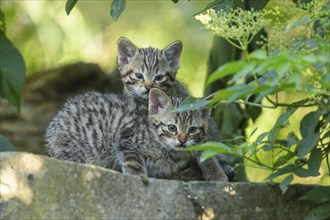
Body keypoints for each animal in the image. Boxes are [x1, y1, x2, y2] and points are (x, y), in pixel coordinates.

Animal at [45, 88, 211, 179]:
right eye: (172, 128)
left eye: (192, 129)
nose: (182, 140)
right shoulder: (127, 141)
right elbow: (134, 164)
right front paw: (139, 178)